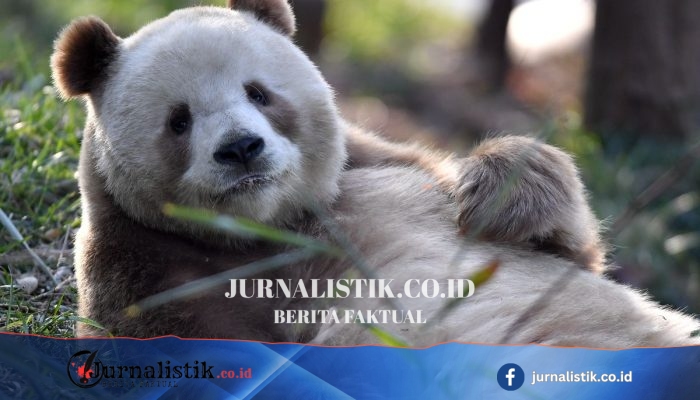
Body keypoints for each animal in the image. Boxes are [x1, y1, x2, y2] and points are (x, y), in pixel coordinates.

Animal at [50, 0, 698, 347]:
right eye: (179, 121)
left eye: (258, 93)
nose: (241, 149)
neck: (274, 226)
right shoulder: (145, 274)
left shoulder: (386, 169)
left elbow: (567, 252)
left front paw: (504, 192)